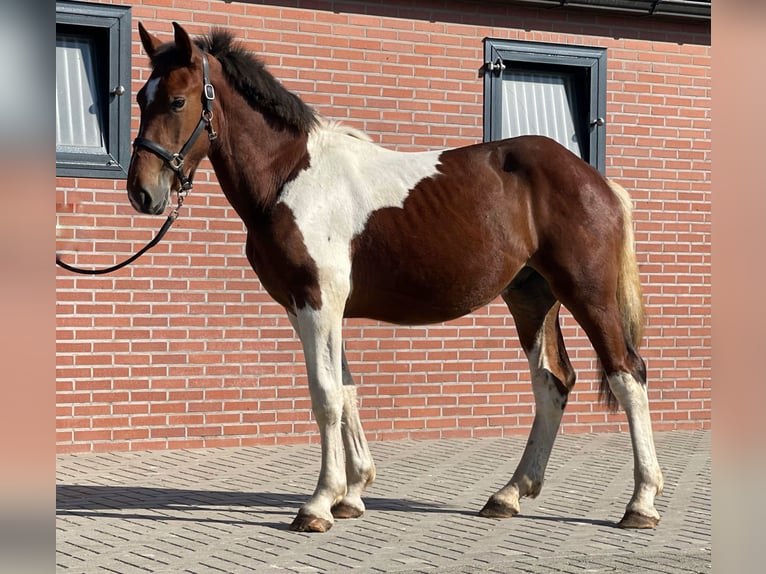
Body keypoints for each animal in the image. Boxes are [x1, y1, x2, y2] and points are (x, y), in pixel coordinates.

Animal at [127, 22, 664, 536]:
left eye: (177, 100)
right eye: (139, 98)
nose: (142, 192)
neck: (291, 177)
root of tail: (597, 181)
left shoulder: (317, 302)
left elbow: (326, 397)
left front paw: (318, 505)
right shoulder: (311, 307)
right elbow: (345, 391)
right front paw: (352, 495)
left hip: (588, 295)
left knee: (627, 373)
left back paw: (641, 502)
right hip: (532, 298)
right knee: (552, 383)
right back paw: (509, 494)